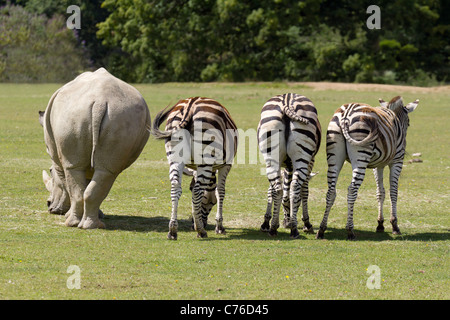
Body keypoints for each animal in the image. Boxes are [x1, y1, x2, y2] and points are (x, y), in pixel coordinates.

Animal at [151, 96, 237, 239]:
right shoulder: (226, 165)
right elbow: (220, 191)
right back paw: (201, 231)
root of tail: (190, 105)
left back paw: (173, 230)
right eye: (211, 202)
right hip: (206, 156)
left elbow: (193, 189)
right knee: (197, 191)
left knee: (175, 187)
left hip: (174, 158)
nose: (192, 224)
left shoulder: (196, 169)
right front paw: (219, 227)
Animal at [256, 92, 324, 238]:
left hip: (271, 156)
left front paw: (267, 222)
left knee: (278, 189)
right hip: (303, 157)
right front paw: (306, 223)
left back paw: (273, 228)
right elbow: (304, 192)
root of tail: (287, 99)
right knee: (295, 187)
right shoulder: (311, 162)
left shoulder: (286, 166)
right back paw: (294, 228)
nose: (285, 222)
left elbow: (274, 191)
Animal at [316, 96, 418, 239]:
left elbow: (380, 192)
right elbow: (393, 192)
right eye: (408, 123)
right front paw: (394, 225)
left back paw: (321, 229)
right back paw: (350, 230)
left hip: (334, 156)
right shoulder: (397, 161)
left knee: (331, 191)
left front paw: (380, 224)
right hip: (361, 156)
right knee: (351, 190)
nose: (404, 141)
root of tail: (346, 113)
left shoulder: (378, 165)